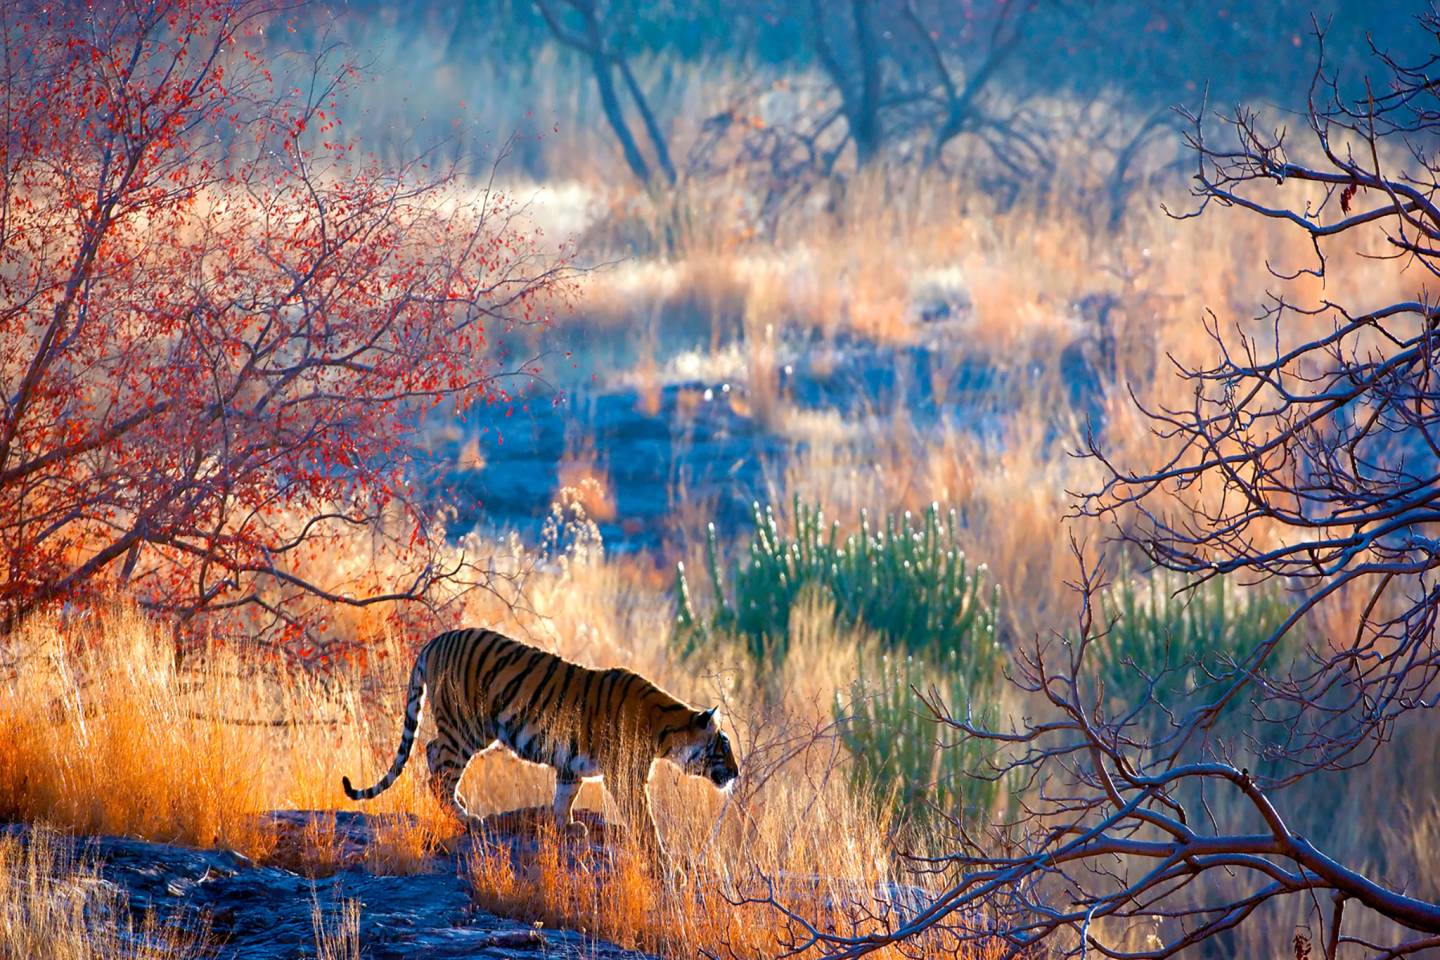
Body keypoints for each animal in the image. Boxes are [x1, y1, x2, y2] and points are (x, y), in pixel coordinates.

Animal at [342, 627, 737, 869]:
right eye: (723, 746)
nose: (735, 773)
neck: (667, 731)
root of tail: (437, 640)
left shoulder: (571, 766)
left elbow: (564, 798)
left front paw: (568, 828)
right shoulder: (626, 778)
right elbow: (645, 822)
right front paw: (666, 863)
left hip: (465, 728)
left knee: (430, 751)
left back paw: (460, 804)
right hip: (467, 726)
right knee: (438, 766)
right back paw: (465, 816)